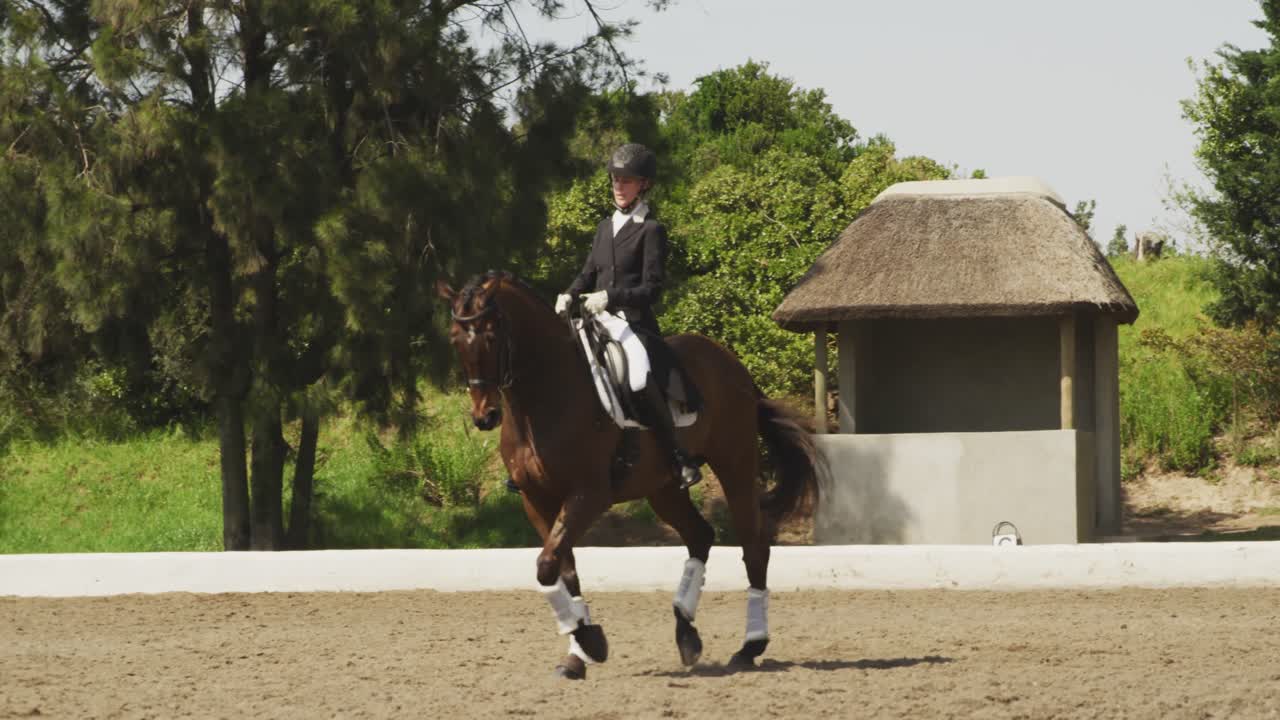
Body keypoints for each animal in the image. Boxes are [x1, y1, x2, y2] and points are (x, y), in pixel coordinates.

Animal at [436, 271, 821, 680]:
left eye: (492, 335)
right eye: (455, 338)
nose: (485, 416)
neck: (542, 399)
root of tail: (732, 363)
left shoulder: (589, 494)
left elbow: (546, 565)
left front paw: (590, 643)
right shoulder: (535, 499)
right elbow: (562, 568)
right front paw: (579, 652)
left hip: (735, 463)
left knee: (754, 546)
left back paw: (750, 647)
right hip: (664, 487)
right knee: (700, 535)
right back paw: (686, 634)